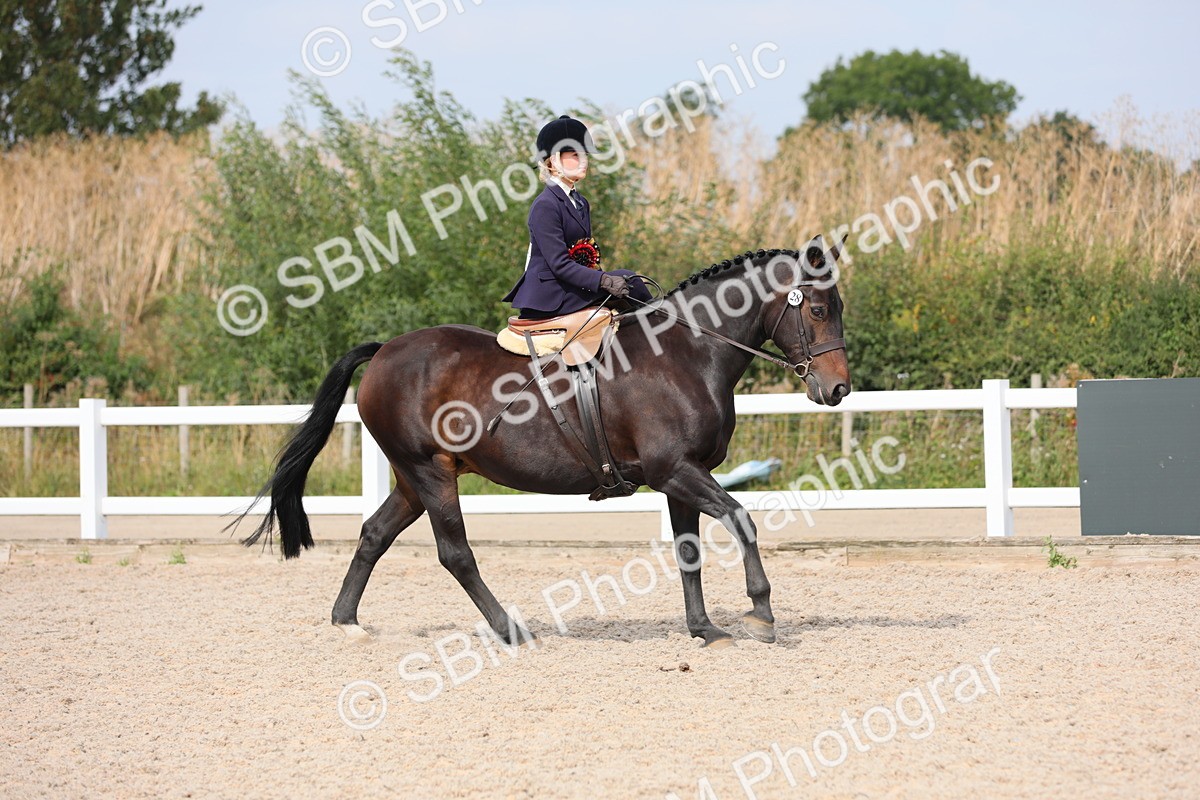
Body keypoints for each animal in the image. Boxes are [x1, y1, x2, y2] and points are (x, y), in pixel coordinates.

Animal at [239, 238, 851, 648]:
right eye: (819, 309)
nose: (838, 388)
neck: (686, 353)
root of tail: (386, 349)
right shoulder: (675, 470)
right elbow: (741, 519)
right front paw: (760, 612)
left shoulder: (683, 475)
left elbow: (688, 551)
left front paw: (704, 628)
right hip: (430, 473)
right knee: (455, 553)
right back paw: (510, 629)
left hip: (415, 478)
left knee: (373, 535)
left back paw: (346, 621)